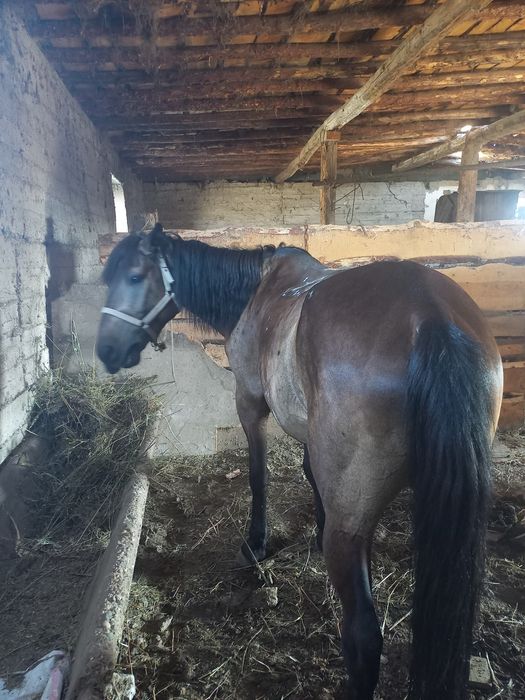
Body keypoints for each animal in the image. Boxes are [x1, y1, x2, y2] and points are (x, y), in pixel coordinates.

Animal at [97, 223, 503, 700]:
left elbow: (259, 476)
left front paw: (255, 543)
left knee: (363, 635)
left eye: (135, 277)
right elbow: (310, 474)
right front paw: (314, 529)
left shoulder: (250, 403)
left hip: (353, 528)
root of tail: (430, 318)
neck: (255, 293)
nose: (106, 350)